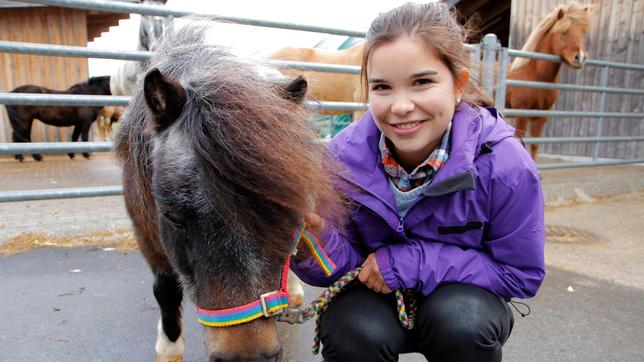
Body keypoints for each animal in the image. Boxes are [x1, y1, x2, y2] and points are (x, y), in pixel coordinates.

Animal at [115, 22, 348, 362]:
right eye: (172, 216)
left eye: (290, 213)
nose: (246, 356)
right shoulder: (146, 232)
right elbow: (165, 289)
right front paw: (169, 348)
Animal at [508, 2, 592, 159]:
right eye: (563, 32)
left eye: (583, 32)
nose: (580, 57)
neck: (535, 76)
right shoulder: (521, 113)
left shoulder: (541, 116)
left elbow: (535, 145)